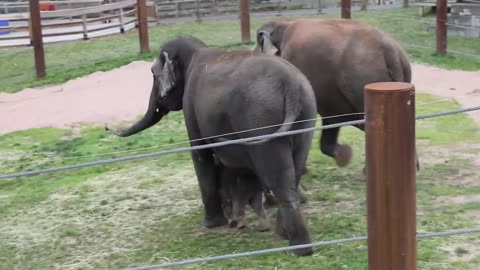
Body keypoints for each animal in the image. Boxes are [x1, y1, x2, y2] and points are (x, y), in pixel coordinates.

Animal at [107, 35, 320, 255]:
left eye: (152, 74)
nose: (107, 127)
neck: (197, 50)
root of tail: (291, 87)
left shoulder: (190, 106)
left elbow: (200, 153)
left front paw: (212, 224)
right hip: (306, 113)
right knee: (295, 170)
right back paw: (283, 235)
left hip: (261, 119)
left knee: (278, 178)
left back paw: (299, 248)